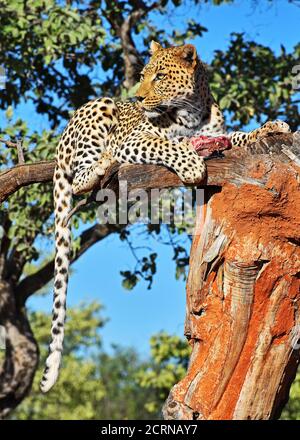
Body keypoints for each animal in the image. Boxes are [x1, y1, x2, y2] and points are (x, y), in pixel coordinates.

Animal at [40, 41, 290, 392]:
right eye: (143, 75)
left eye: (159, 77)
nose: (138, 98)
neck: (192, 112)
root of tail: (61, 139)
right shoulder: (134, 139)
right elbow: (168, 146)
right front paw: (192, 165)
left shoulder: (220, 137)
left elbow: (238, 136)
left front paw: (272, 126)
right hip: (100, 109)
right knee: (79, 180)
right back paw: (102, 164)